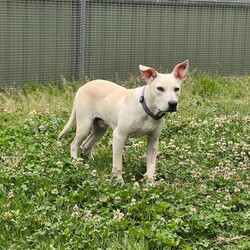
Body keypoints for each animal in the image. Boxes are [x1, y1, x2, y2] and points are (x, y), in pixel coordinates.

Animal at [57, 60, 188, 182]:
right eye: (160, 88)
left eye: (176, 89)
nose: (173, 104)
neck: (146, 108)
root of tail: (83, 86)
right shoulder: (119, 136)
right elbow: (118, 164)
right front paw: (119, 182)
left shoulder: (153, 140)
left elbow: (151, 165)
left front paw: (150, 183)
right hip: (85, 125)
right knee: (74, 144)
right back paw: (75, 163)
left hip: (100, 129)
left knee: (86, 145)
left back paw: (91, 162)